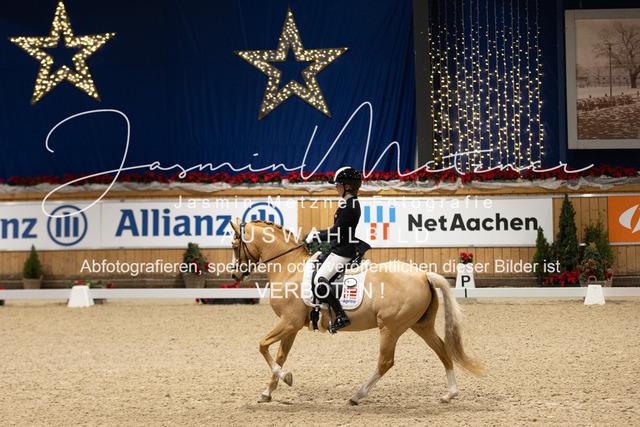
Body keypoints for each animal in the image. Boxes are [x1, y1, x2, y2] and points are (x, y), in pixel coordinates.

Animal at [229, 219, 483, 405]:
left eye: (234, 245)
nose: (234, 274)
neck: (289, 268)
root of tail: (423, 275)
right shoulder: (291, 325)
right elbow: (280, 355)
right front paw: (268, 392)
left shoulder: (289, 322)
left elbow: (262, 345)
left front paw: (286, 378)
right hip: (420, 325)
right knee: (443, 351)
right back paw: (449, 394)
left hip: (390, 327)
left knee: (385, 362)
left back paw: (356, 396)